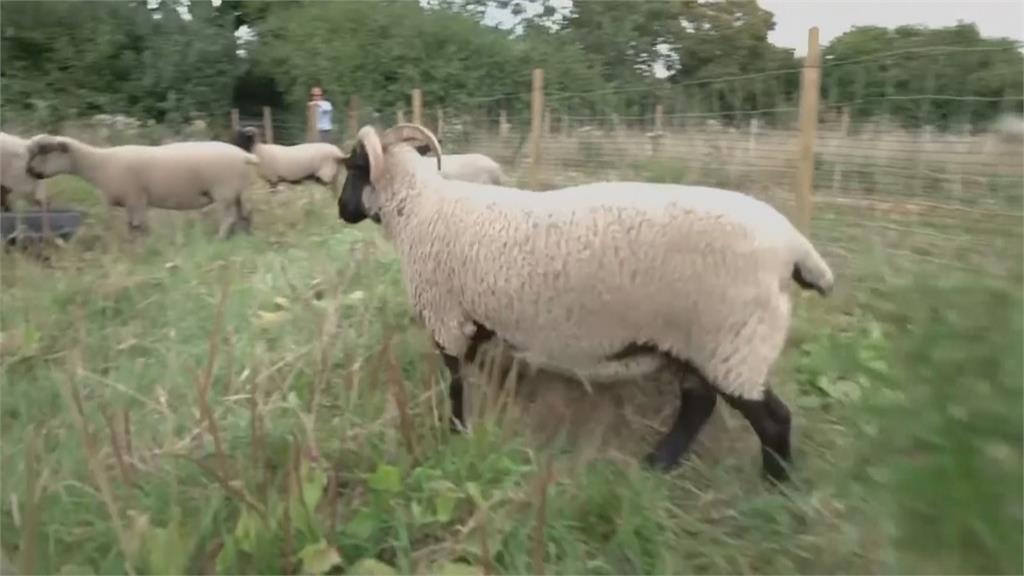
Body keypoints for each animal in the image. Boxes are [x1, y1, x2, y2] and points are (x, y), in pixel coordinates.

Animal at [25, 134, 260, 237]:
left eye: (45, 152)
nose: (30, 171)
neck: (100, 163)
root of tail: (245, 156)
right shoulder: (133, 202)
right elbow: (131, 227)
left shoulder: (135, 198)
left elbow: (137, 227)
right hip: (238, 191)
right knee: (245, 213)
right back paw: (244, 235)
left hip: (224, 192)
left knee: (229, 218)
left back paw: (220, 238)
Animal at [335, 123, 831, 481]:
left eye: (355, 166)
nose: (342, 211)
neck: (421, 208)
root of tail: (796, 247)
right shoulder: (475, 323)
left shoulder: (448, 318)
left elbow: (456, 385)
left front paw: (455, 433)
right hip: (701, 344)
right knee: (698, 406)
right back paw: (656, 467)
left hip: (735, 344)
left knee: (772, 420)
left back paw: (776, 486)